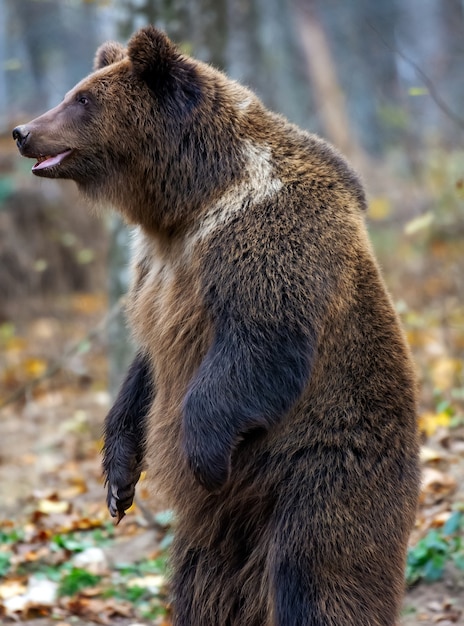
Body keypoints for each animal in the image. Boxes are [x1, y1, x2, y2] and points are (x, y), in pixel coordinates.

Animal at [13, 25, 420, 624]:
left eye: (82, 99)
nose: (22, 132)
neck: (188, 200)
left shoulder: (263, 238)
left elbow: (260, 345)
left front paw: (202, 456)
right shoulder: (154, 270)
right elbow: (147, 362)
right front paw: (117, 482)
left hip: (324, 471)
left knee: (318, 576)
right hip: (215, 540)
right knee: (202, 590)